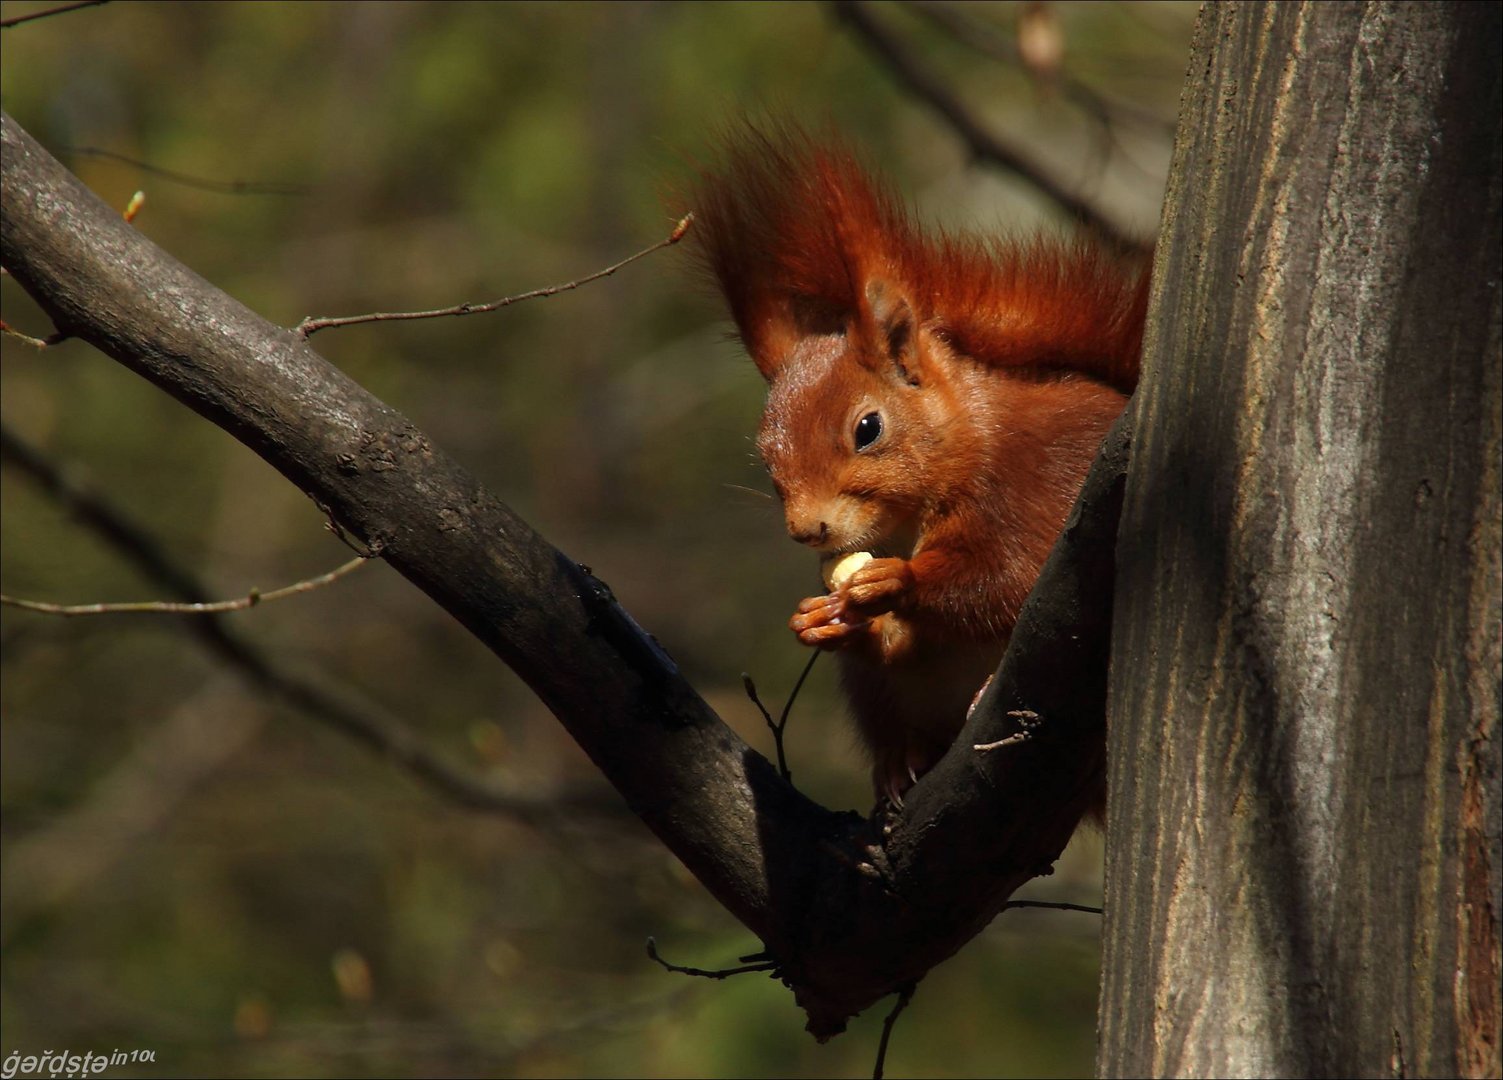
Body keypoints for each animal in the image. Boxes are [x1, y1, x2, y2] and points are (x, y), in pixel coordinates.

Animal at [691, 126, 1148, 805]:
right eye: (766, 456)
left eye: (868, 428)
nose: (806, 531)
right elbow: (902, 642)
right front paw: (824, 619)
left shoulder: (1033, 490)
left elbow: (1006, 580)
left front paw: (897, 582)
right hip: (880, 700)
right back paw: (899, 761)